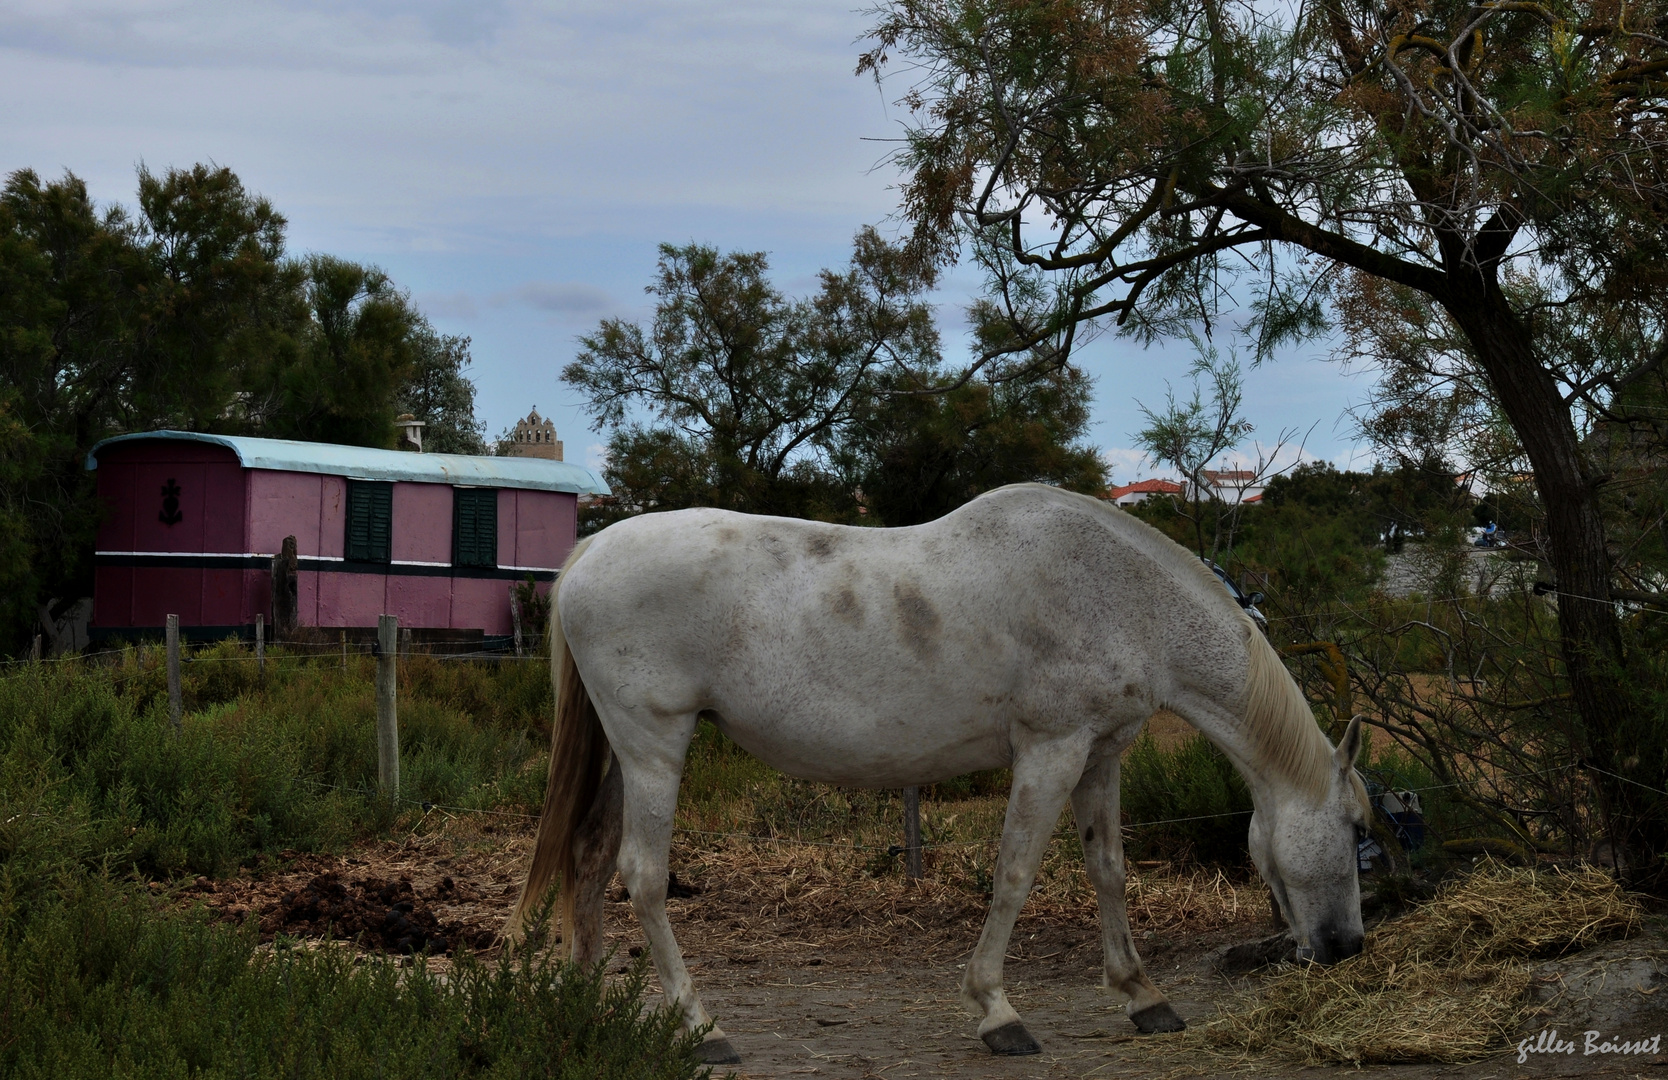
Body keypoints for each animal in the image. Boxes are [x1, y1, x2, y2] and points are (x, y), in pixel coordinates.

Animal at [503, 487, 1367, 1068]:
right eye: (1359, 828)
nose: (1346, 947)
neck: (1118, 593)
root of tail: (587, 555)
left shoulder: (1102, 753)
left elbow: (1109, 872)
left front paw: (1143, 995)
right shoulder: (1051, 749)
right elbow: (1016, 875)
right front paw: (998, 1012)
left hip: (629, 753)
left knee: (588, 858)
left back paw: (588, 1014)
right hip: (654, 744)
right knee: (643, 876)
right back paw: (701, 1028)